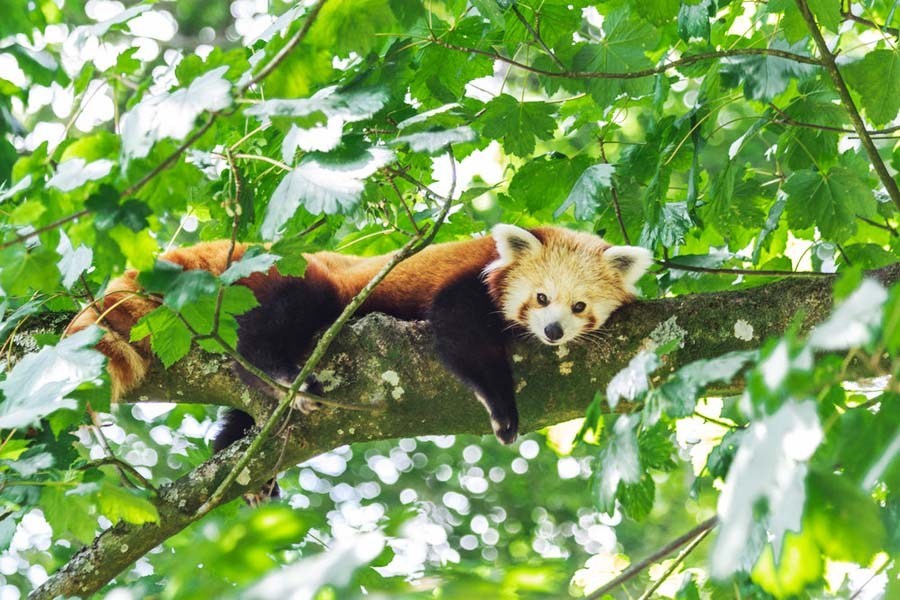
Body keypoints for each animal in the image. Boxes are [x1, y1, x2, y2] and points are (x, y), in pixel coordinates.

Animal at [67, 227, 652, 452]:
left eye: (579, 307)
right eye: (540, 298)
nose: (553, 331)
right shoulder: (466, 283)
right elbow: (459, 337)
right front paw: (503, 412)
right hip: (297, 284)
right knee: (268, 333)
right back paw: (282, 378)